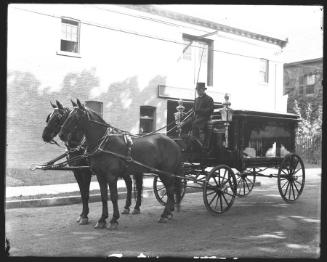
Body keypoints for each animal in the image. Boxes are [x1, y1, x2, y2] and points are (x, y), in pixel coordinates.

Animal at [59, 99, 184, 229]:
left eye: (76, 117)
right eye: (67, 115)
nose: (61, 134)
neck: (104, 144)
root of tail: (174, 142)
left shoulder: (111, 176)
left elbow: (114, 197)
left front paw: (114, 219)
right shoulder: (100, 176)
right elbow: (104, 197)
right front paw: (102, 219)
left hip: (166, 173)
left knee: (170, 190)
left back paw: (165, 214)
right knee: (170, 190)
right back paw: (168, 212)